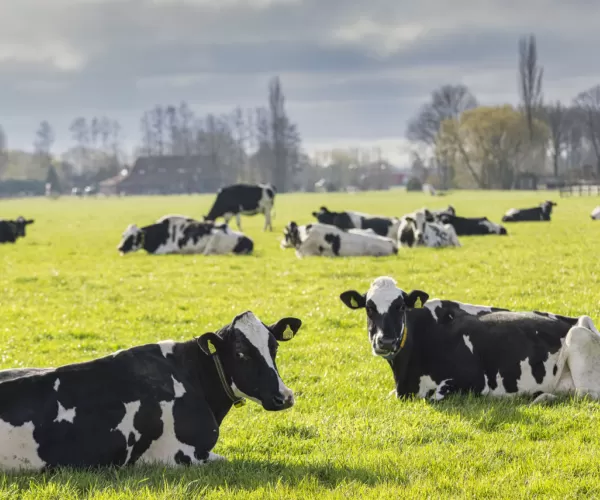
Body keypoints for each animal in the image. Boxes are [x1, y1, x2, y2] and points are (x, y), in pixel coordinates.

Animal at [338, 276, 600, 404]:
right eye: (369, 308)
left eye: (401, 306)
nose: (386, 342)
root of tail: (578, 319)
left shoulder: (473, 381)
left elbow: (433, 398)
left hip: (578, 339)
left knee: (584, 395)